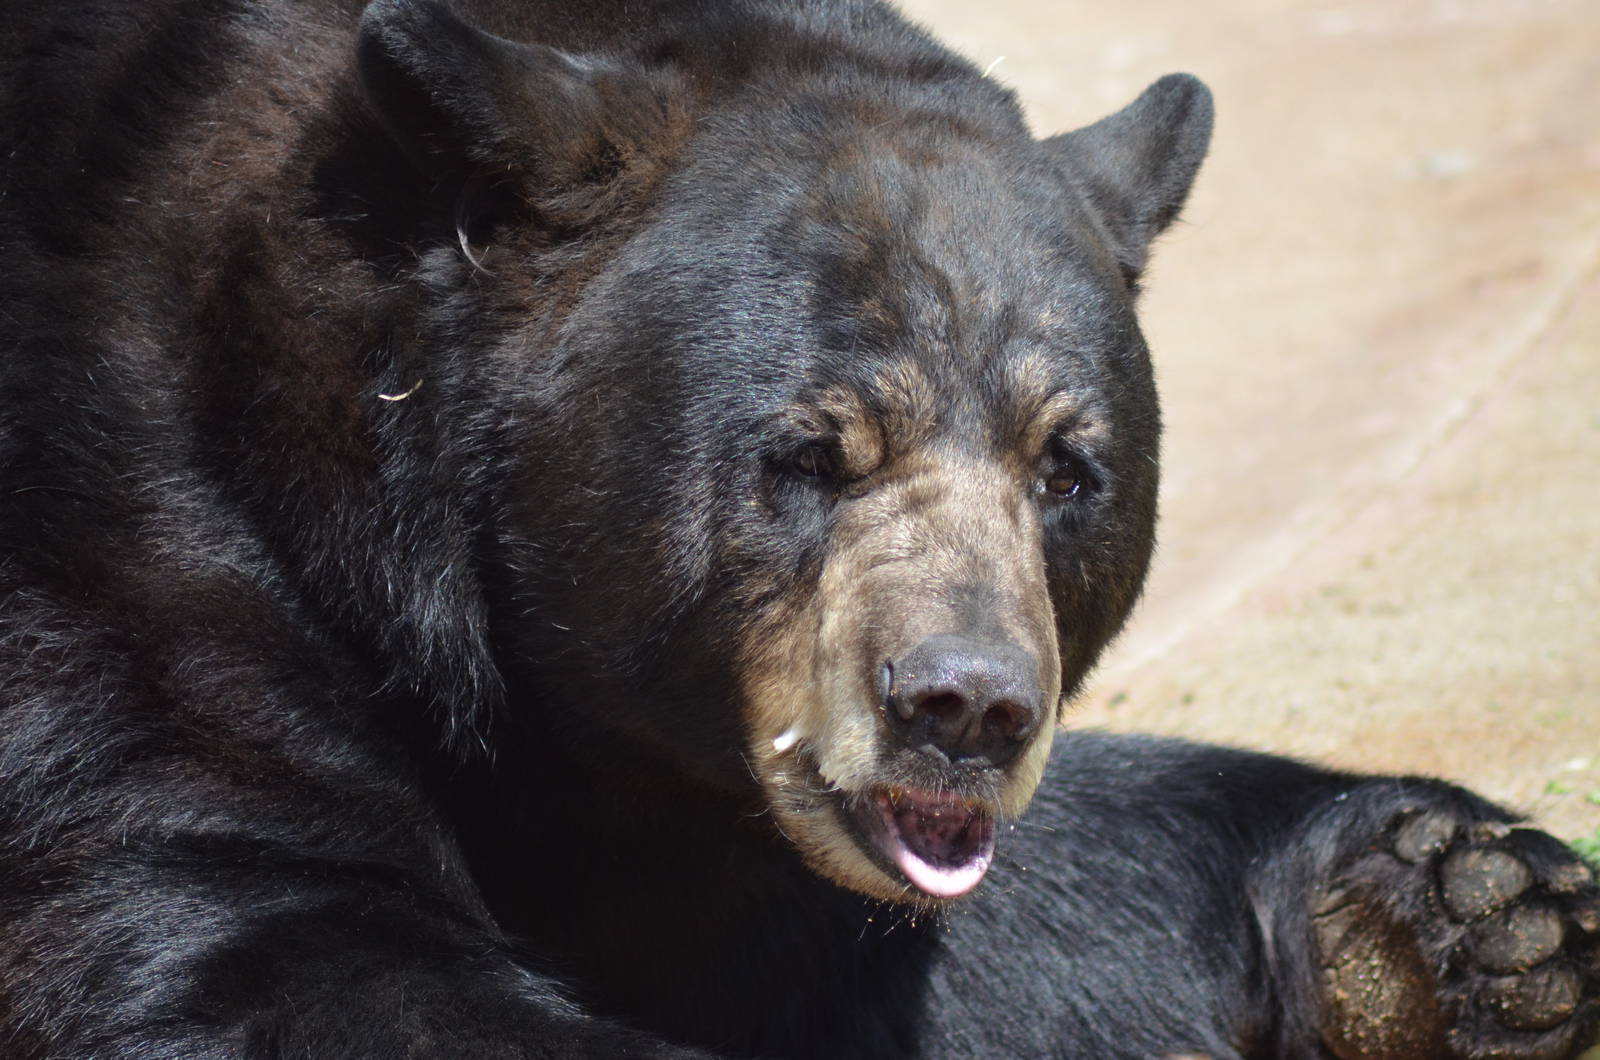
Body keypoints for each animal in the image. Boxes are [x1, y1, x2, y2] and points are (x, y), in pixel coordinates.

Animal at [0, 0, 1596, 1057]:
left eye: (1066, 468)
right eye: (813, 452)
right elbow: (263, 931)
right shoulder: (155, 578)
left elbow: (963, 923)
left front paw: (1469, 912)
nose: (964, 708)